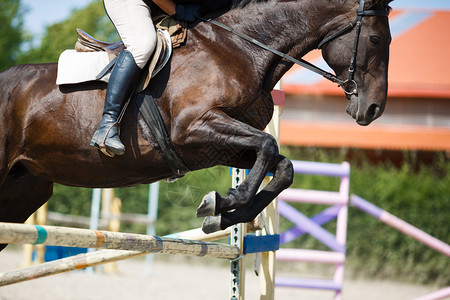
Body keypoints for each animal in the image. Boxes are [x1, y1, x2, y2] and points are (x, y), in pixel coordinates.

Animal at [0, 0, 390, 248]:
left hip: (24, 190)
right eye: (375, 38)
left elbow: (283, 167)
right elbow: (269, 146)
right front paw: (224, 200)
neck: (240, 49)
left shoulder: (217, 145)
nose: (373, 109)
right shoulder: (193, 127)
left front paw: (224, 215)